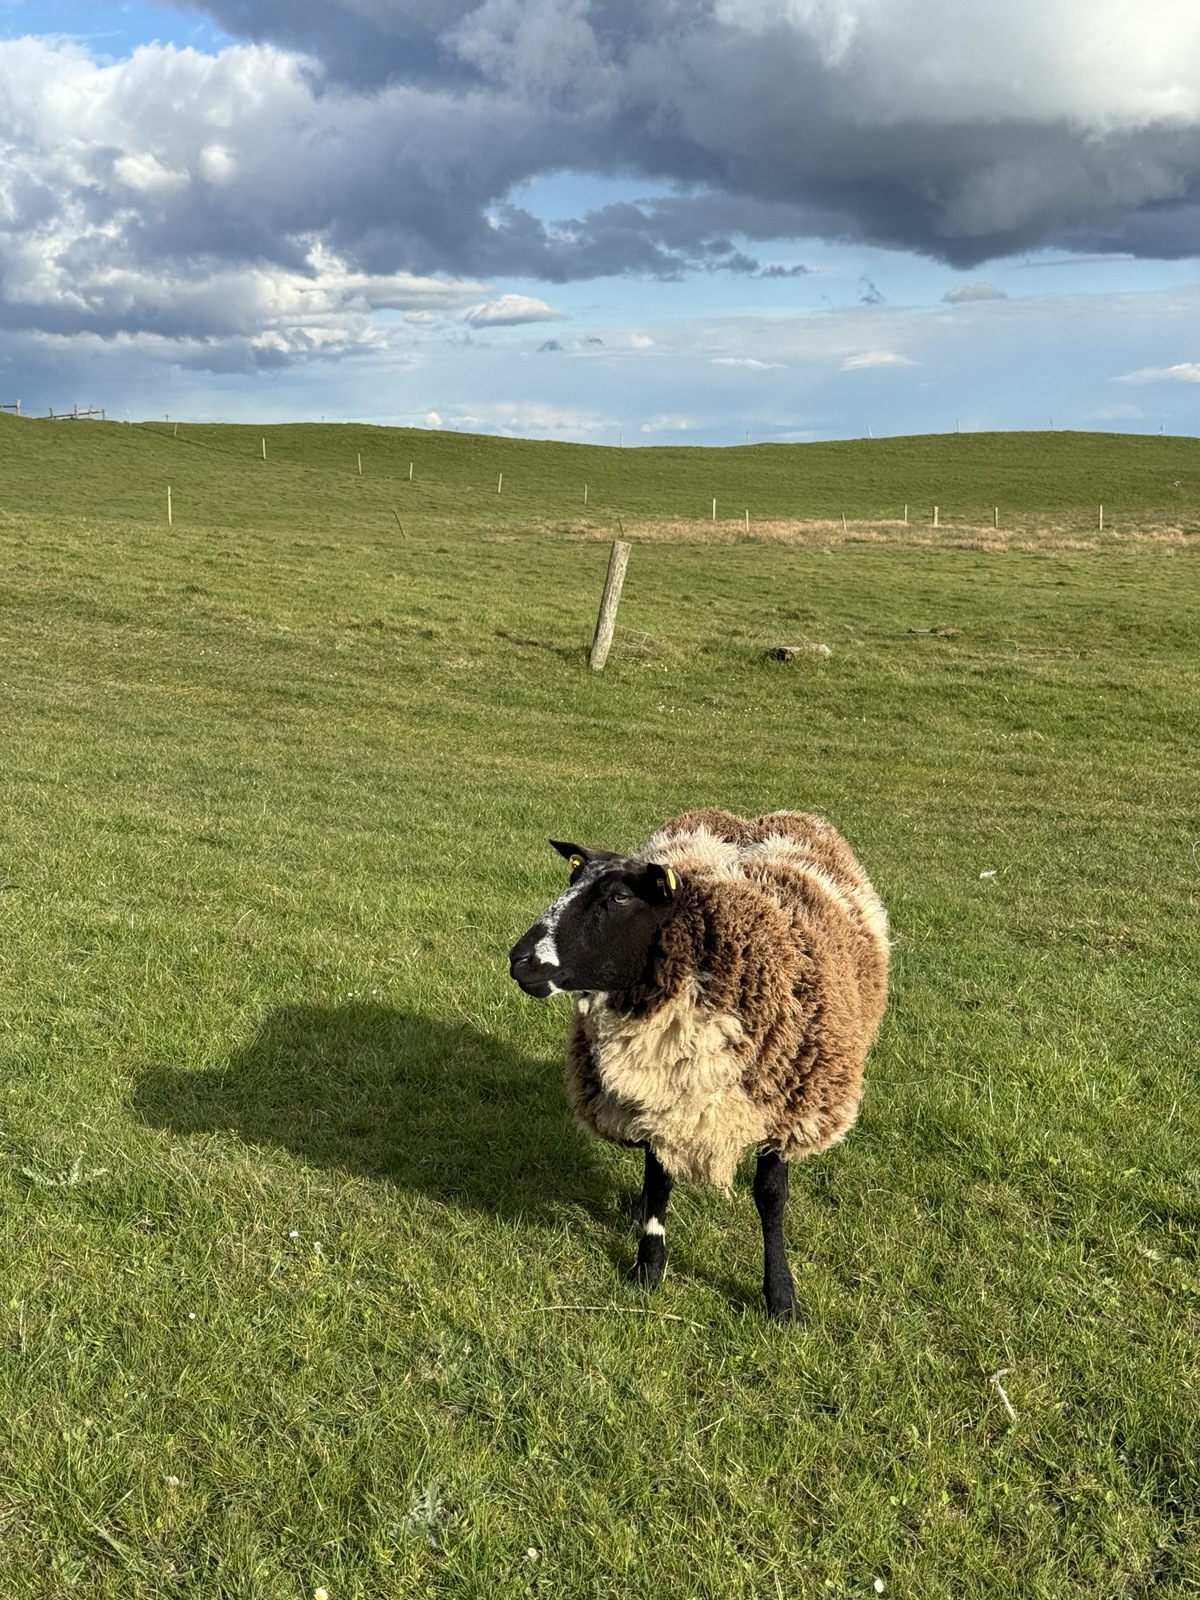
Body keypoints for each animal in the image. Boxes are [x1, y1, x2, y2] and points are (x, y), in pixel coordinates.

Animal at [508, 808, 889, 1319]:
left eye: (620, 897)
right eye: (571, 879)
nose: (520, 960)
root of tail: (754, 816)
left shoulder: (784, 1103)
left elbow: (771, 1199)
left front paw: (781, 1297)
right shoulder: (659, 1094)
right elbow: (658, 1181)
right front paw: (648, 1270)